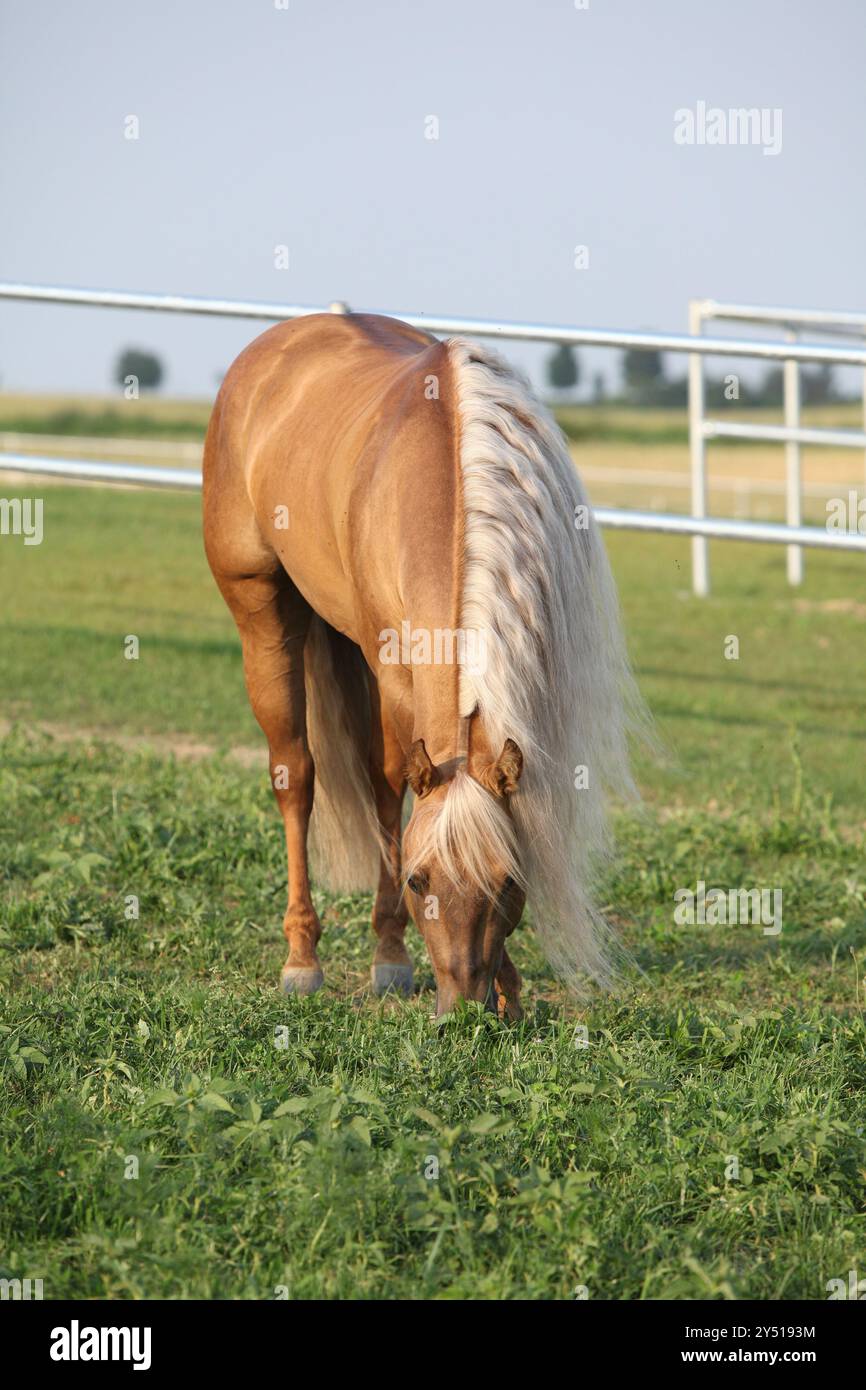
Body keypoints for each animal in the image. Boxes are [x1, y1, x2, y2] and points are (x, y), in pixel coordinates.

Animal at [202, 311, 637, 1017]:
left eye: (508, 881)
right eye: (416, 879)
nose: (462, 1007)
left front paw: (509, 988)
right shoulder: (394, 673)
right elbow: (387, 786)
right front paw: (391, 957)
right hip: (262, 616)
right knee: (296, 776)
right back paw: (302, 959)